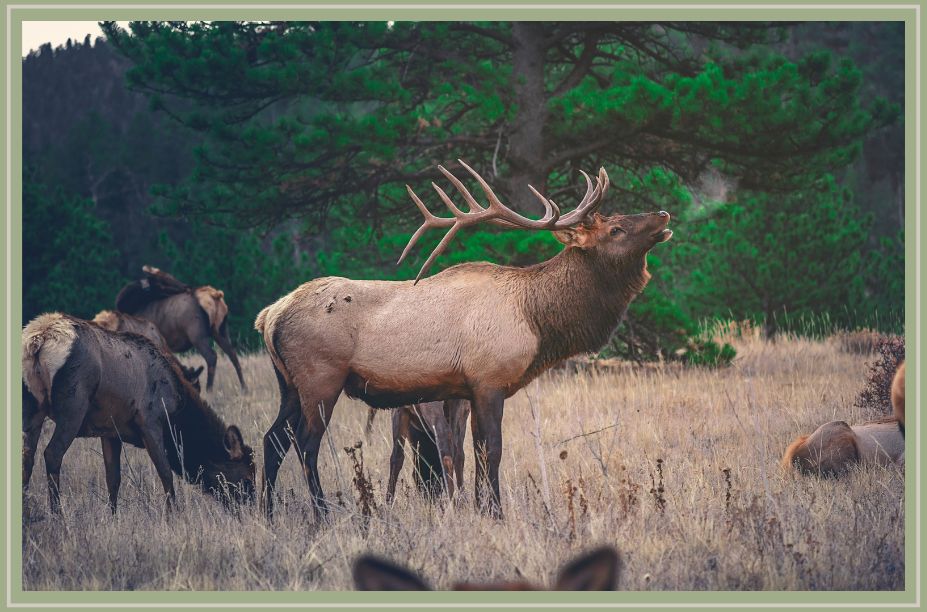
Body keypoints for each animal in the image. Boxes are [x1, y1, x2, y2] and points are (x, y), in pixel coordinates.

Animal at [22, 312, 256, 513]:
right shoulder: (150, 422)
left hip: (32, 409)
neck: (177, 412)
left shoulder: (110, 431)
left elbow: (113, 479)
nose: (252, 510)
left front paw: (113, 517)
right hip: (73, 406)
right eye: (246, 478)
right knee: (52, 453)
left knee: (27, 458)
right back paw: (57, 516)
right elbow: (166, 473)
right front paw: (173, 516)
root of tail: (38, 340)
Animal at [116, 266, 247, 391]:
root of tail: (216, 295)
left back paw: (209, 390)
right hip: (221, 330)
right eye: (162, 282)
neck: (132, 307)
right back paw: (244, 388)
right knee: (233, 354)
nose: (186, 286)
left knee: (212, 356)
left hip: (197, 333)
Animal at [255, 160, 672, 519]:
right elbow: (493, 451)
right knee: (305, 445)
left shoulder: (465, 390)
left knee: (272, 440)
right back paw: (321, 514)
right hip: (321, 377)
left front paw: (479, 508)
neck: (536, 320)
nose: (663, 215)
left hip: (288, 384)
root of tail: (269, 316)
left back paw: (267, 512)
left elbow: (473, 452)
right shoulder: (489, 380)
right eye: (615, 229)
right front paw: (497, 513)